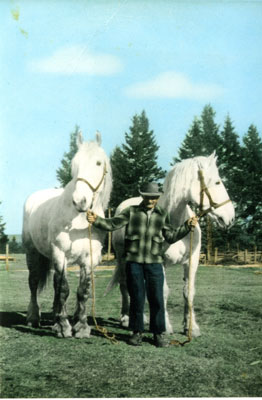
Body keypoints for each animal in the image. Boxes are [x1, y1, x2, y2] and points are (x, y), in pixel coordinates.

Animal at [22, 133, 111, 340]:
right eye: (75, 163)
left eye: (98, 163)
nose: (80, 201)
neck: (78, 219)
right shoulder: (59, 253)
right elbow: (63, 289)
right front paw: (63, 326)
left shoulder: (90, 258)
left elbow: (82, 291)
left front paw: (82, 326)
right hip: (32, 254)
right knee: (34, 283)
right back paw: (34, 317)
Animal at [109, 152, 234, 338]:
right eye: (217, 182)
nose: (230, 218)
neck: (175, 222)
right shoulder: (159, 263)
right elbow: (163, 291)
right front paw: (165, 326)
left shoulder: (192, 261)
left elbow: (188, 292)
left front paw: (191, 327)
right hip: (122, 260)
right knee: (126, 286)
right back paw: (126, 318)